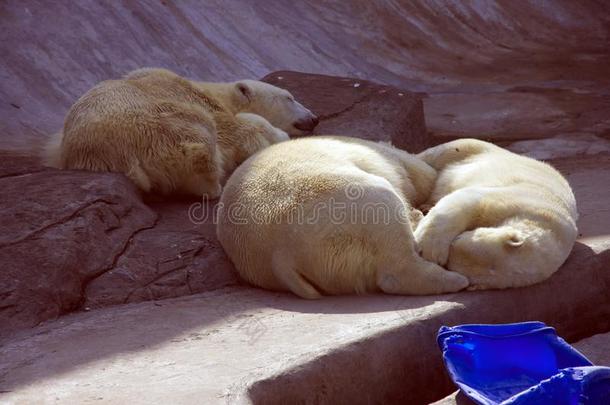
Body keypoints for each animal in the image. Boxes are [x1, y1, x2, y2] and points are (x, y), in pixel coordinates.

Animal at [45, 68, 316, 197]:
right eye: (290, 98)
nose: (314, 117)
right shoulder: (202, 104)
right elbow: (240, 129)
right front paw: (279, 136)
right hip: (163, 127)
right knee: (201, 146)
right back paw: (213, 185)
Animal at [414, 138, 576, 288]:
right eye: (458, 239)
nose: (454, 242)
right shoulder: (521, 201)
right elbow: (468, 201)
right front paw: (429, 250)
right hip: (472, 151)